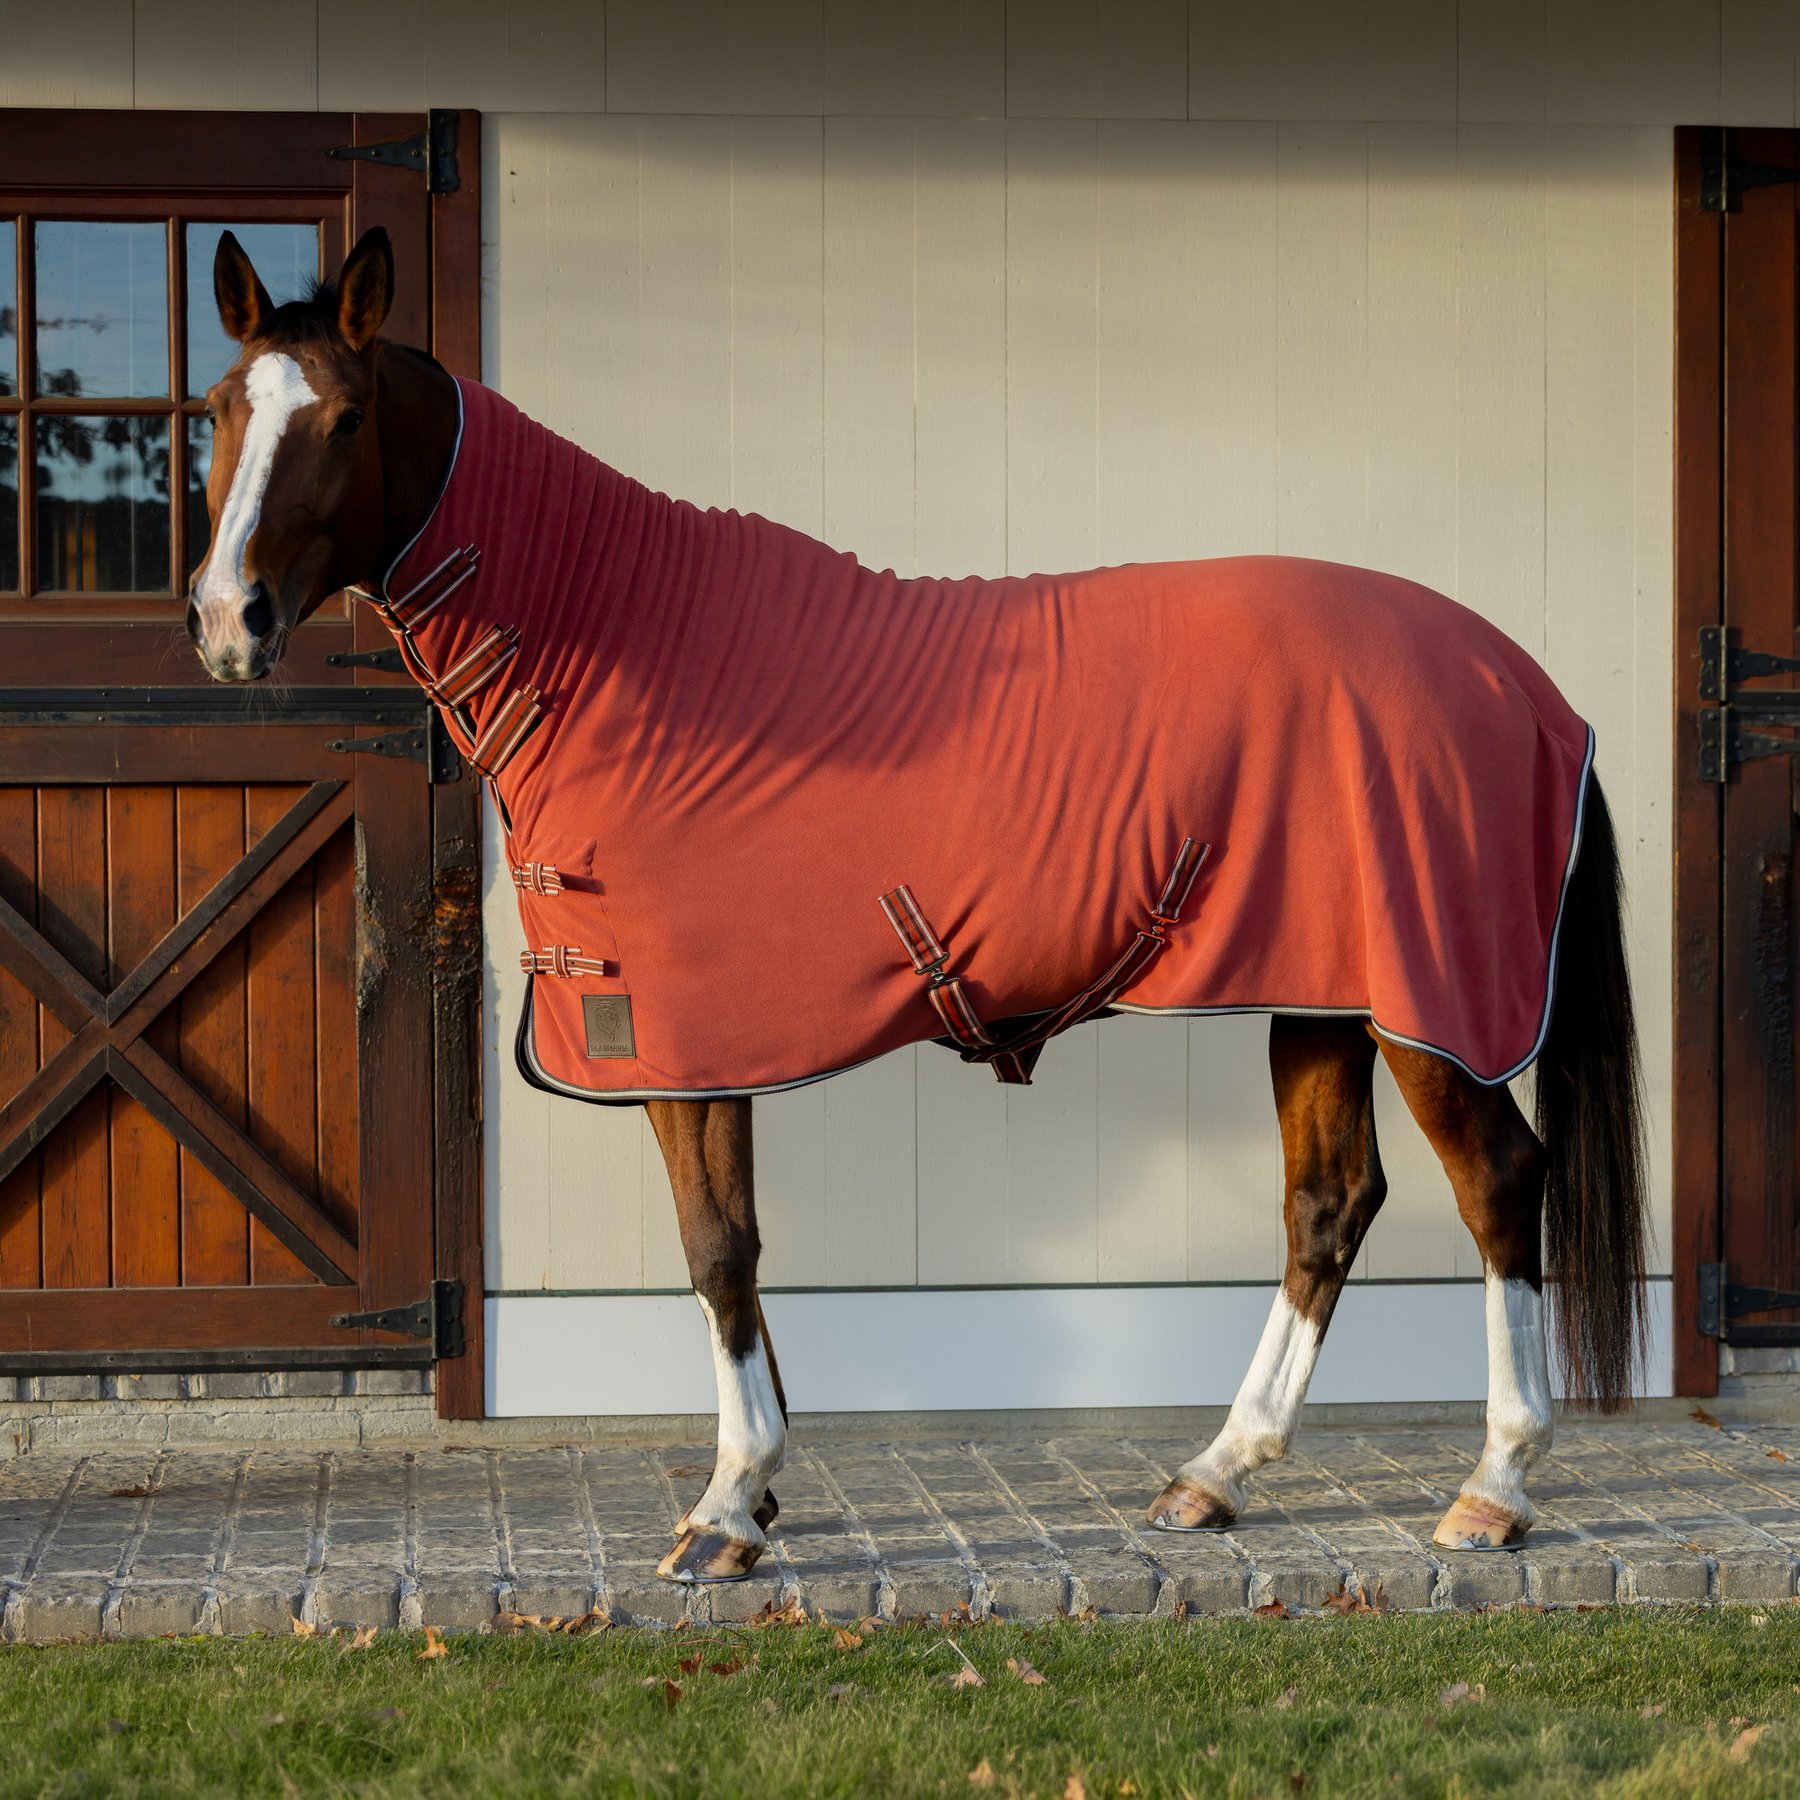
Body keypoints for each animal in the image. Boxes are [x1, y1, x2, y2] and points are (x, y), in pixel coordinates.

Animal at [186, 226, 1647, 1588]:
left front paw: (730, 1506)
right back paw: (1217, 1473)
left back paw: (1496, 1487)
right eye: (215, 408)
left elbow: (719, 1251)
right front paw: (761, 1489)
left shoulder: (680, 1046)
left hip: (1430, 1003)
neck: (628, 656)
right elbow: (734, 1258)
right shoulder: (700, 1046)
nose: (225, 621)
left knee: (1498, 1184)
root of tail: (1525, 684)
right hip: (1325, 990)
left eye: (346, 418)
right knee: (1328, 1205)